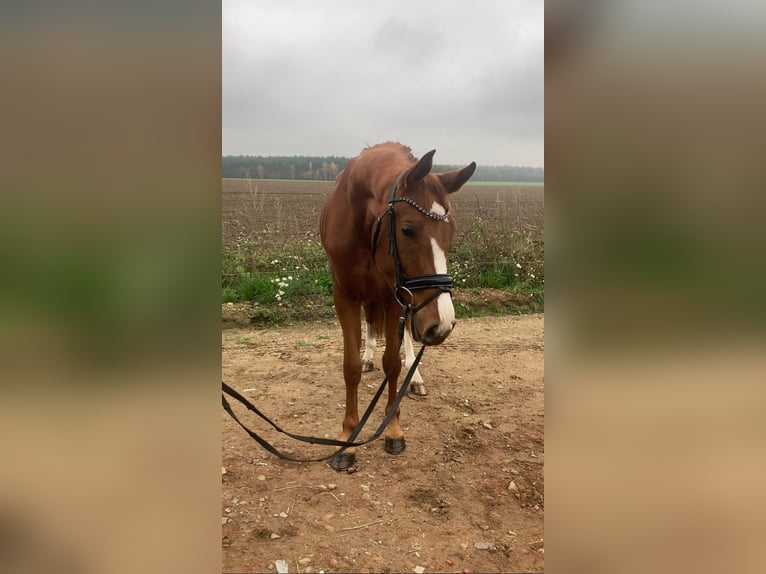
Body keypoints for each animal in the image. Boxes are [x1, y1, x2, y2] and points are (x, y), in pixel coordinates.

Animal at [318, 142, 474, 470]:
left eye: (451, 232)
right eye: (407, 230)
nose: (443, 324)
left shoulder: (394, 298)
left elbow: (394, 363)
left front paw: (392, 430)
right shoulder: (345, 296)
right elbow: (350, 366)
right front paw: (348, 440)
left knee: (408, 342)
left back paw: (415, 377)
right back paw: (370, 355)